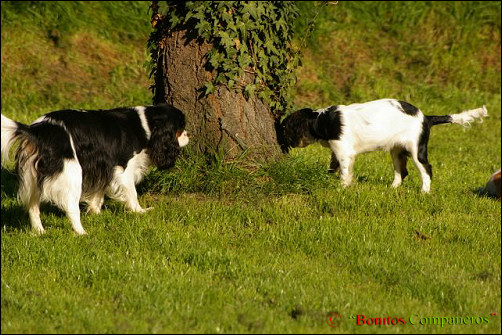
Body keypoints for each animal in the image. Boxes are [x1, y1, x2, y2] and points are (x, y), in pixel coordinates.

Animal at [0, 103, 189, 235]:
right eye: (180, 129)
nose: (189, 135)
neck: (146, 125)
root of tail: (37, 130)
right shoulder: (123, 169)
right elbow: (132, 193)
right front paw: (140, 211)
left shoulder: (103, 165)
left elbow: (99, 191)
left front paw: (95, 212)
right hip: (71, 173)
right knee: (71, 206)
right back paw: (81, 232)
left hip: (32, 176)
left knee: (33, 206)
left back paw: (39, 231)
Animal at [278, 98, 486, 193]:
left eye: (286, 129)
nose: (282, 141)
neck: (321, 120)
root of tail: (426, 118)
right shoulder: (337, 151)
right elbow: (336, 168)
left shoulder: (344, 151)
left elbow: (344, 172)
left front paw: (342, 188)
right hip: (396, 150)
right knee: (401, 171)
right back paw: (393, 188)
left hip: (416, 149)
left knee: (426, 168)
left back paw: (424, 191)